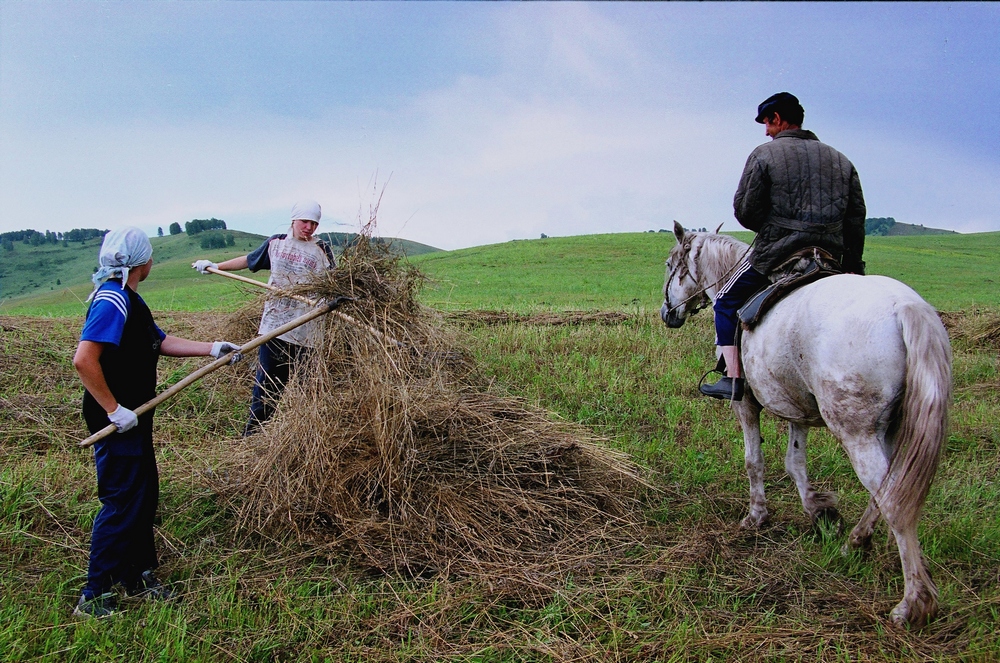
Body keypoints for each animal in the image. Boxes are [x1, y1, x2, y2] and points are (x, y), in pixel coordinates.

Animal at [660, 222, 948, 628]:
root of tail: (905, 307)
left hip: (857, 433)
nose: (667, 313)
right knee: (888, 488)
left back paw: (913, 602)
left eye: (671, 265)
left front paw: (756, 516)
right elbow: (795, 463)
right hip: (887, 429)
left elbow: (754, 461)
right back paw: (855, 542)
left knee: (893, 500)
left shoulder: (746, 403)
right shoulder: (797, 408)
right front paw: (820, 511)